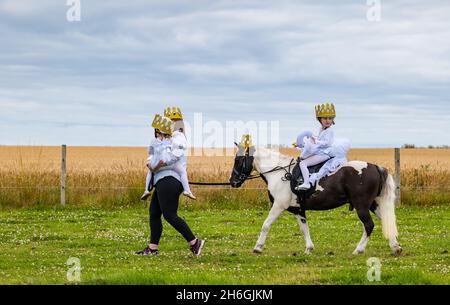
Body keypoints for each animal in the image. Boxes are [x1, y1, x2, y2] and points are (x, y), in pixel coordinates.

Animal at [230, 144, 402, 255]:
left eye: (238, 160)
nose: (232, 182)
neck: (279, 173)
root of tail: (375, 167)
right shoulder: (298, 209)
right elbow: (304, 228)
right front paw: (309, 248)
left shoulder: (279, 206)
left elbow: (266, 225)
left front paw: (258, 247)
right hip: (373, 204)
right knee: (385, 221)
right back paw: (395, 247)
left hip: (362, 205)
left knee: (369, 225)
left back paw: (358, 250)